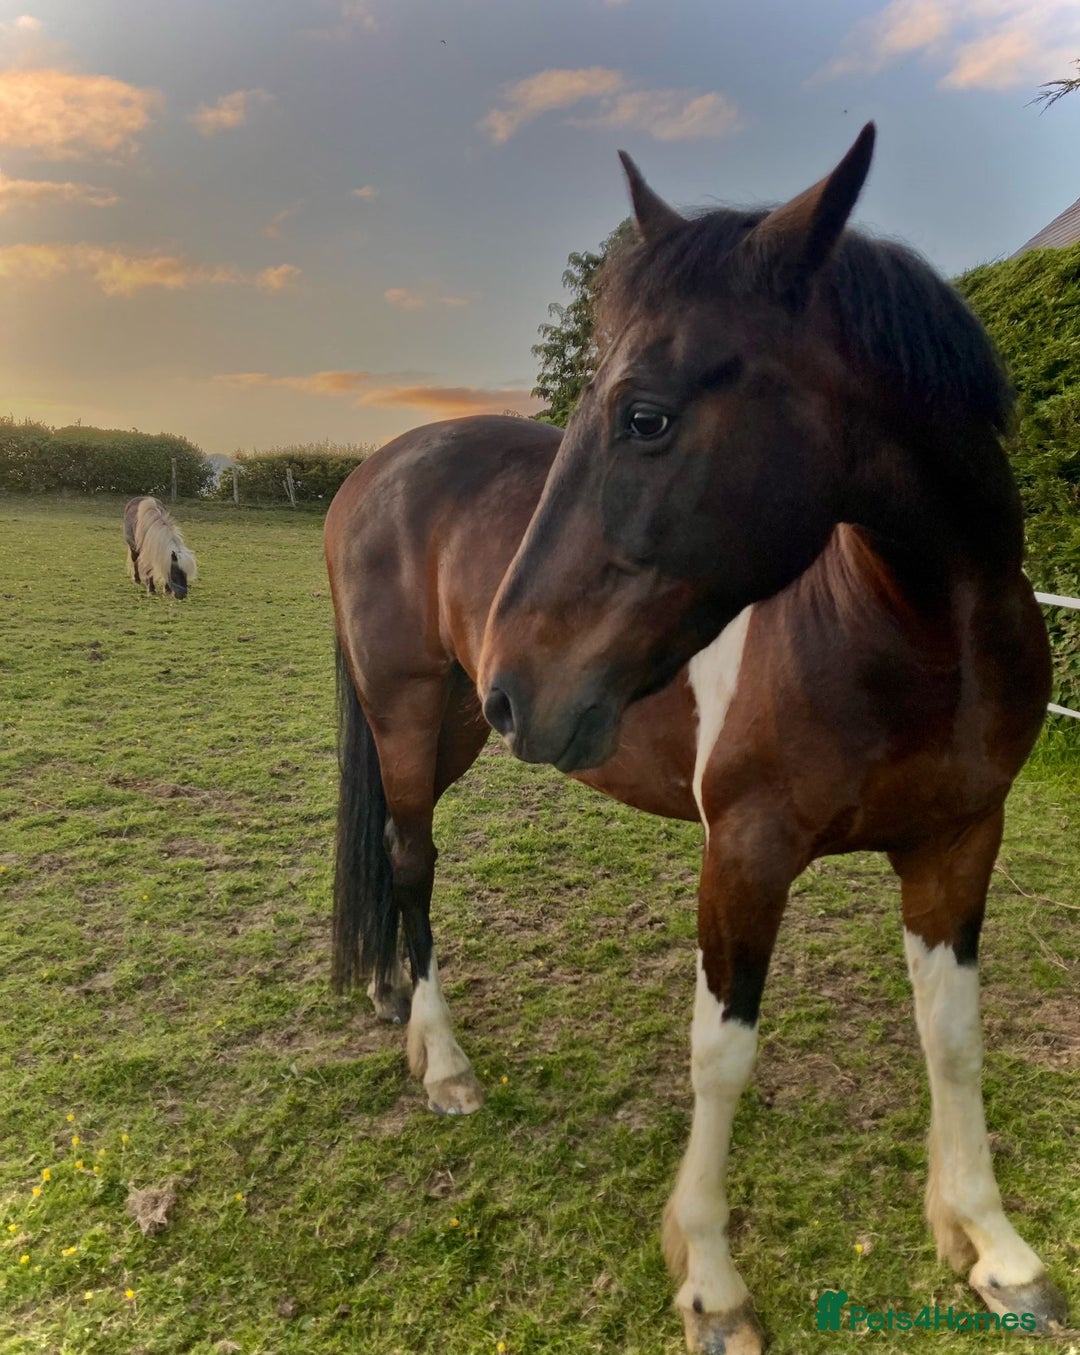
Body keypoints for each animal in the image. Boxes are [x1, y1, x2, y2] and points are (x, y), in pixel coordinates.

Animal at [324, 125, 1067, 1353]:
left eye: (646, 416)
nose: (524, 683)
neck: (913, 630)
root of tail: (373, 471)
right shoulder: (746, 853)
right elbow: (723, 1054)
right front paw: (712, 1284)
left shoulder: (961, 841)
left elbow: (954, 1035)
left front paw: (993, 1245)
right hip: (411, 709)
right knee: (414, 857)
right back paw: (445, 1065)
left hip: (455, 726)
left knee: (393, 852)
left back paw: (394, 1001)